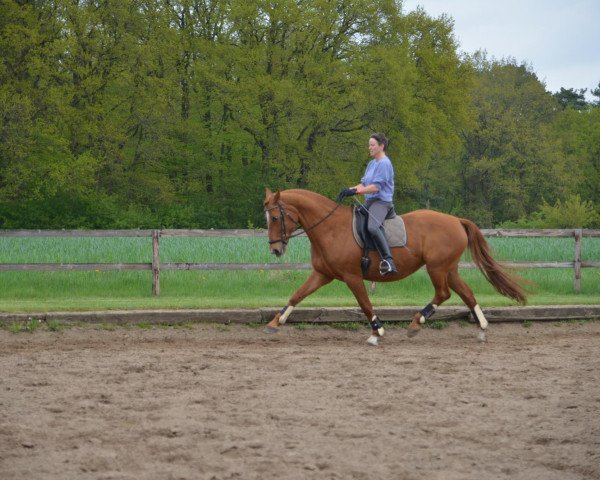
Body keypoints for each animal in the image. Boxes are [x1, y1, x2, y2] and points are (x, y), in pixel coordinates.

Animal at [262, 188, 524, 344]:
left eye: (274, 218)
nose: (275, 250)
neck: (330, 228)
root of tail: (456, 220)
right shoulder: (322, 274)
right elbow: (297, 295)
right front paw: (275, 322)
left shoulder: (352, 276)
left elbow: (365, 304)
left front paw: (376, 332)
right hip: (449, 268)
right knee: (466, 294)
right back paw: (482, 328)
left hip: (437, 268)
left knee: (443, 293)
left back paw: (416, 323)